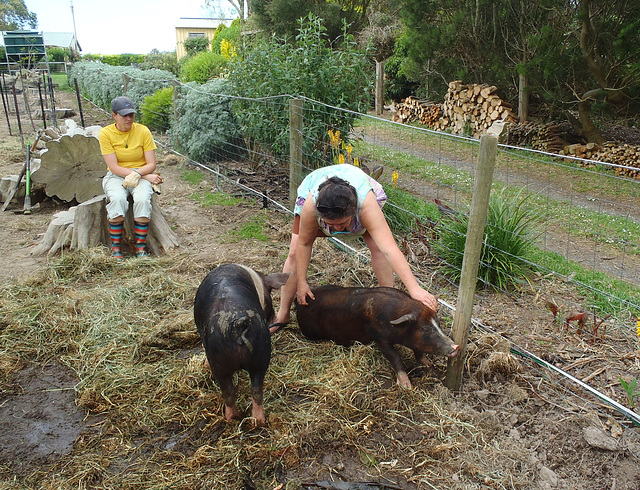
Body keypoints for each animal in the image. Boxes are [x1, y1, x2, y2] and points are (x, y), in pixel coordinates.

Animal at [192, 264, 288, 424]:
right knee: (255, 390)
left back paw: (232, 418)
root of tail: (238, 323)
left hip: (219, 360)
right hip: (260, 352)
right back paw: (256, 421)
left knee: (229, 392)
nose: (274, 317)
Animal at [298, 286, 458, 388]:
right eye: (425, 329)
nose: (456, 346)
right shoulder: (379, 336)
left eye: (438, 323)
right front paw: (406, 386)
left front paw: (429, 365)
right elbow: (394, 356)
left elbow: (418, 352)